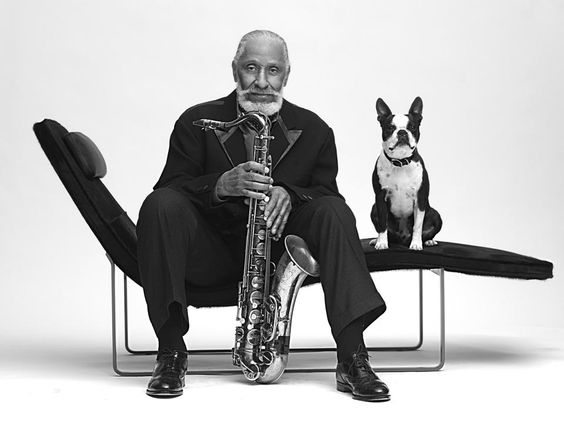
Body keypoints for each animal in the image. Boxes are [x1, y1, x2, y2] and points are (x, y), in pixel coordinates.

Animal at [370, 96, 446, 252]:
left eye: (412, 127)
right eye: (390, 128)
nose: (402, 132)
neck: (400, 161)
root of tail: (402, 238)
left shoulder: (420, 198)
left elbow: (418, 225)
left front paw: (416, 244)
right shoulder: (380, 197)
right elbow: (382, 224)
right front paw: (382, 243)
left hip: (436, 215)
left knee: (426, 231)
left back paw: (428, 241)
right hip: (373, 209)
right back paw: (376, 240)